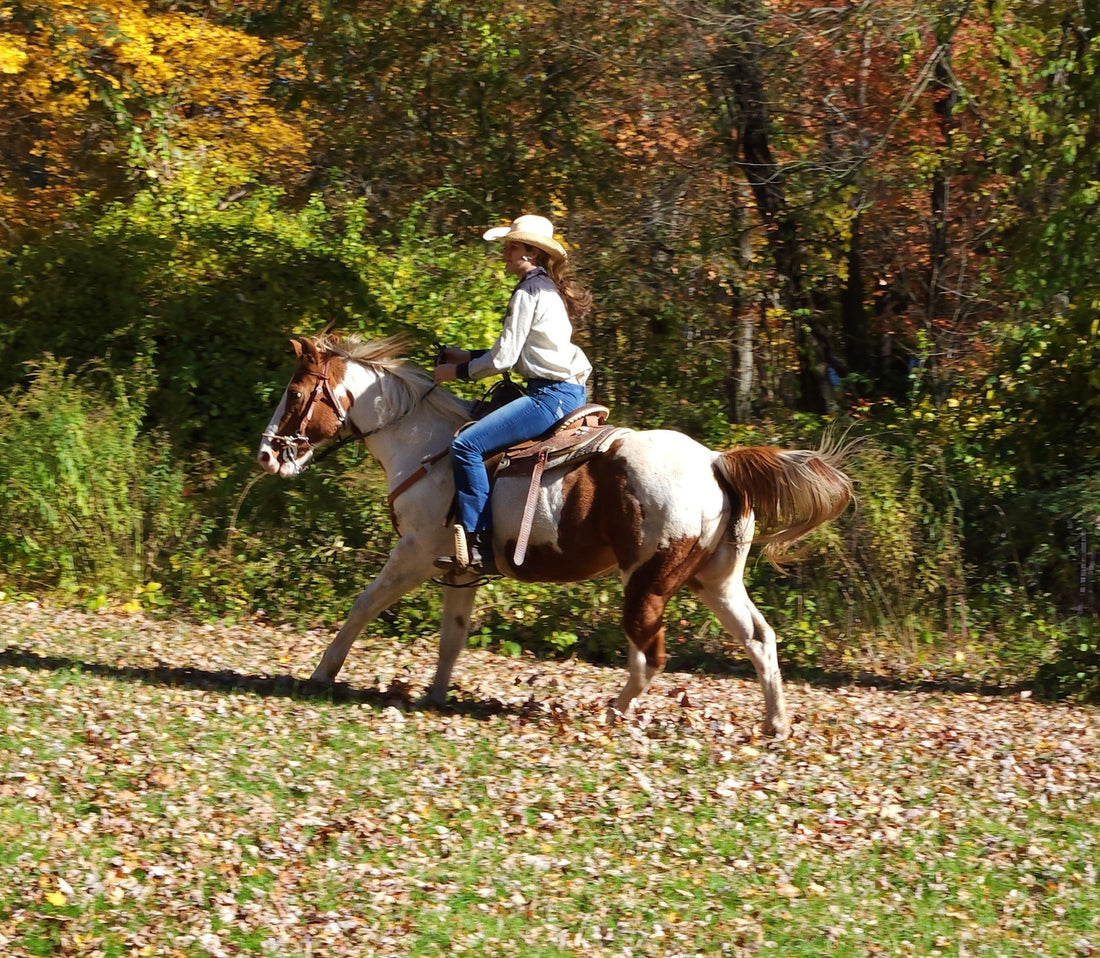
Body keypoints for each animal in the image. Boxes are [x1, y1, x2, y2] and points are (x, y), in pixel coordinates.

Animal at [255, 334, 849, 739]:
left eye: (295, 391)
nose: (265, 454)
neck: (426, 446)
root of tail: (714, 462)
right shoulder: (459, 568)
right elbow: (453, 635)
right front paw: (436, 695)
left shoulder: (416, 554)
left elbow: (363, 605)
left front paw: (322, 674)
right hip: (715, 581)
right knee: (759, 638)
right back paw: (776, 724)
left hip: (648, 582)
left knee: (649, 654)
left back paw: (616, 711)